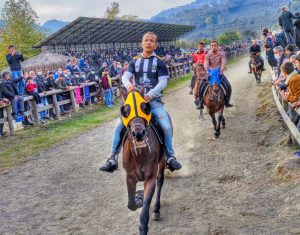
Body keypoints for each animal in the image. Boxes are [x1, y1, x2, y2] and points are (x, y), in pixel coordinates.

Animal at [120, 88, 166, 235]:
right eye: (125, 111)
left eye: (145, 108)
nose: (139, 133)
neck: (139, 155)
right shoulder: (129, 177)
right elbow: (131, 205)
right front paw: (138, 197)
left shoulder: (149, 178)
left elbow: (145, 211)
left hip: (162, 161)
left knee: (160, 180)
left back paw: (156, 209)